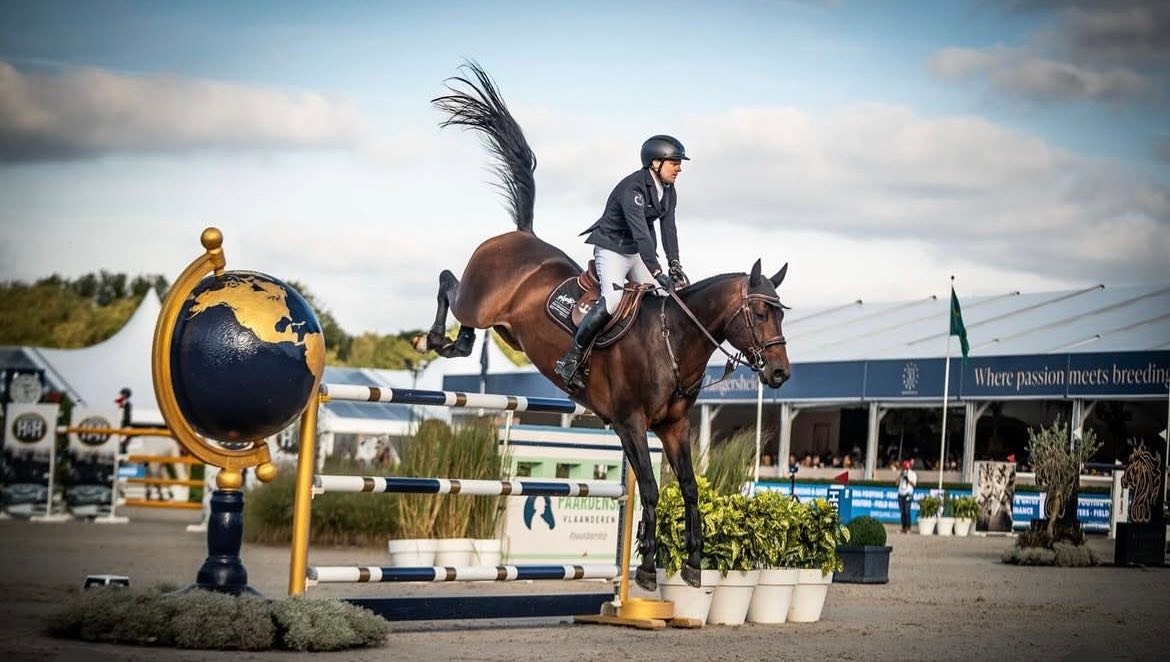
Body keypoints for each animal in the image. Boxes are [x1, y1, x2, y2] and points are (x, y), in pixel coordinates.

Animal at [415, 63, 791, 590]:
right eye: (759, 314)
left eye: (781, 312)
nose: (779, 374)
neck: (675, 341)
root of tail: (521, 235)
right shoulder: (630, 423)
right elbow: (651, 490)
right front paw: (649, 568)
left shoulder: (673, 427)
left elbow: (689, 488)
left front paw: (694, 564)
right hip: (478, 300)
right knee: (449, 283)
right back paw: (435, 338)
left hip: (507, 329)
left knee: (467, 320)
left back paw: (455, 342)